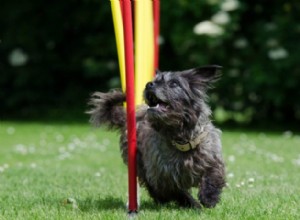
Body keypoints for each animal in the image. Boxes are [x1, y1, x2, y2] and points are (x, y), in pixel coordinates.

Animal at [88, 65, 226, 208]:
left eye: (174, 83)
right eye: (154, 80)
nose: (149, 84)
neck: (181, 140)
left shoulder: (212, 159)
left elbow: (213, 175)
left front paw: (209, 197)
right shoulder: (162, 177)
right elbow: (178, 192)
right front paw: (193, 204)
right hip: (141, 166)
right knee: (152, 188)